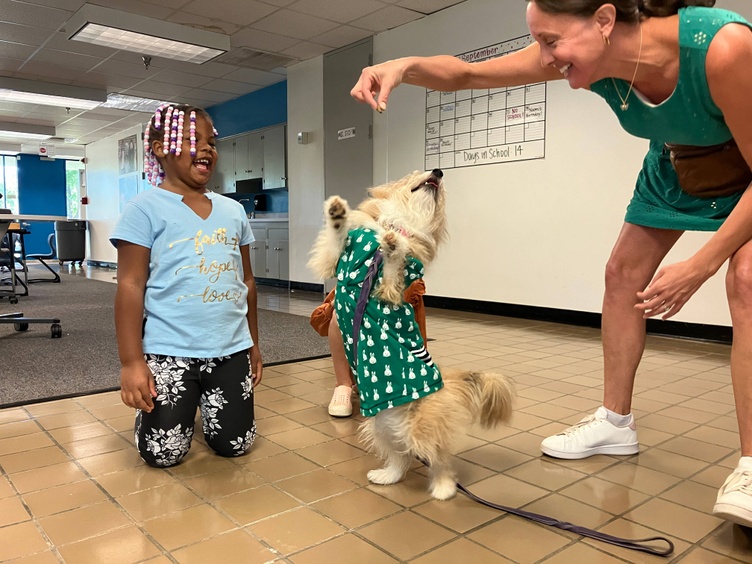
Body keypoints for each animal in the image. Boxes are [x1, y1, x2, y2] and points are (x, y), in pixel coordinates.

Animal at [308, 167, 516, 498]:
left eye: (442, 190)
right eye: (416, 172)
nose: (439, 171)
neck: (401, 224)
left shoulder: (391, 291)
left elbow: (395, 265)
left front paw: (394, 247)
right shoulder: (334, 261)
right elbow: (336, 237)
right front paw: (338, 213)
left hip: (421, 427)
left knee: (439, 458)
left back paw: (444, 489)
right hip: (378, 424)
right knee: (401, 458)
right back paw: (386, 476)